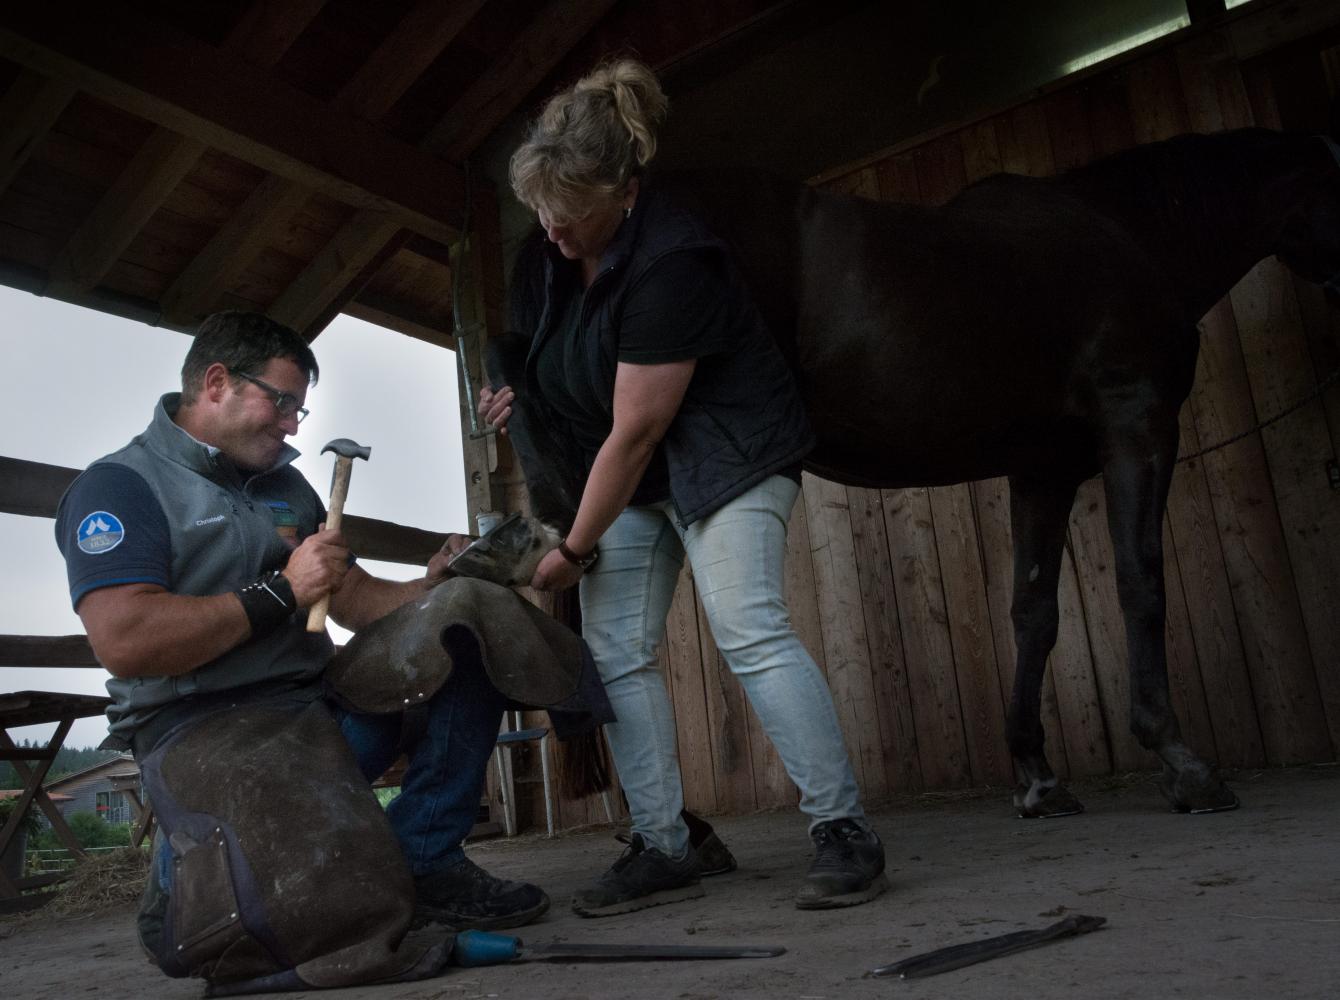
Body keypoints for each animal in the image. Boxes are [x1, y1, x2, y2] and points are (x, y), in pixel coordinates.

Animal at [493, 126, 1340, 809]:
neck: (1130, 233)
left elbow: (1034, 610)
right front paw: (1181, 761)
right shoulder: (1138, 420)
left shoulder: (1044, 469)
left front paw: (1037, 776)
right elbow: (1142, 580)